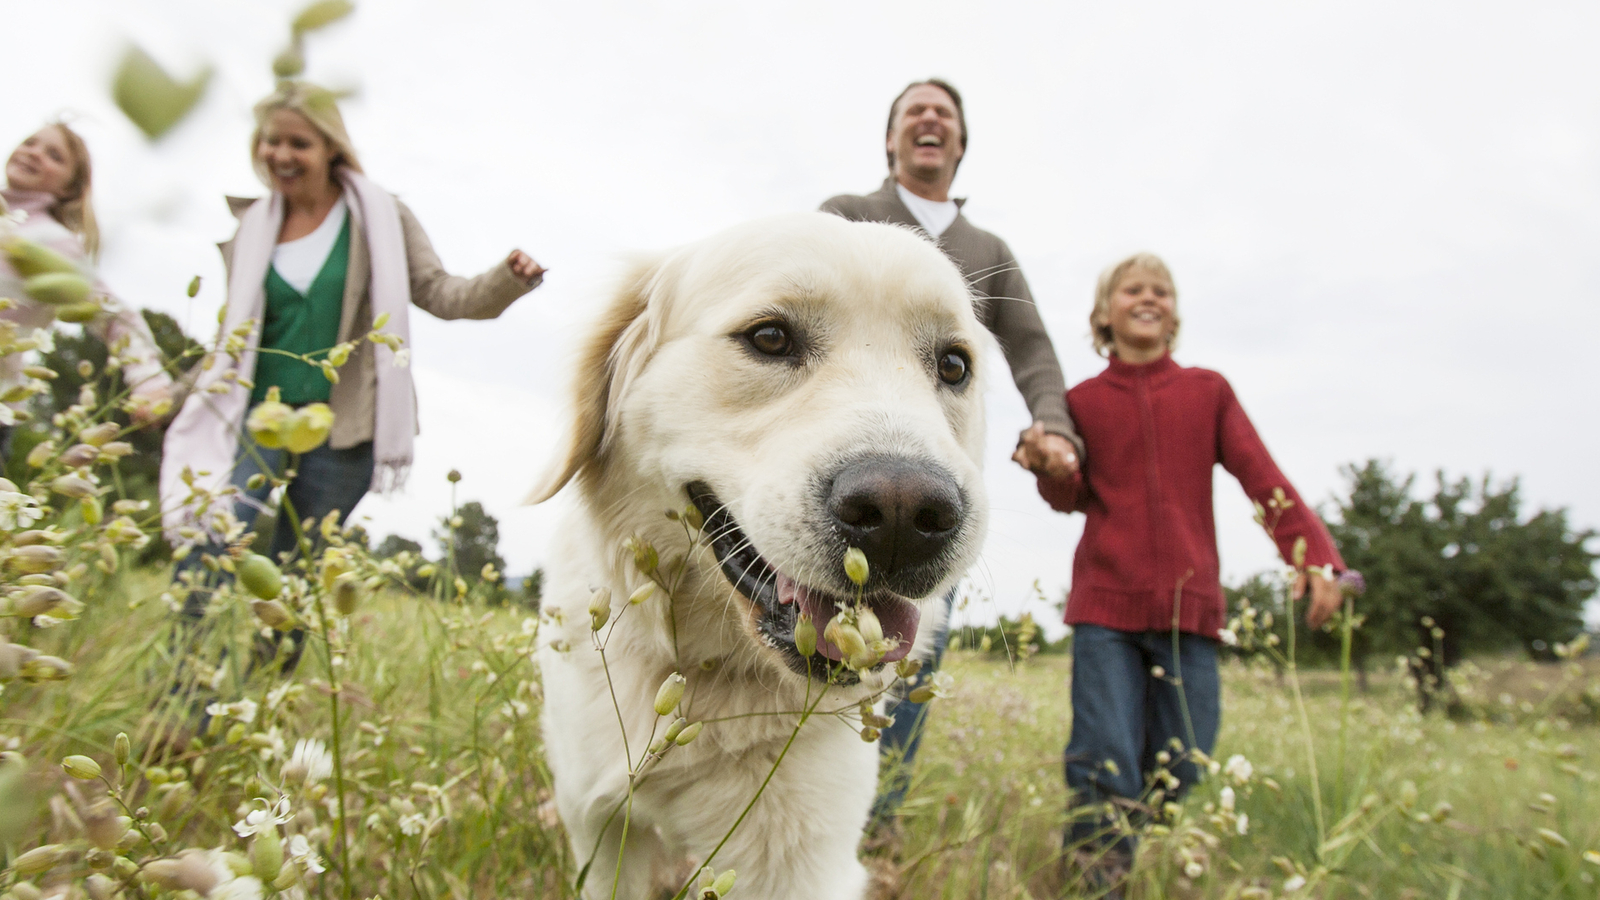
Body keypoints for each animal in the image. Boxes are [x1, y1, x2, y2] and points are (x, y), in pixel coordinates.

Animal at [534, 211, 985, 896]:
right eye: (770, 337)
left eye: (954, 366)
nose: (906, 515)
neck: (698, 672)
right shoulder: (602, 832)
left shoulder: (803, 864)